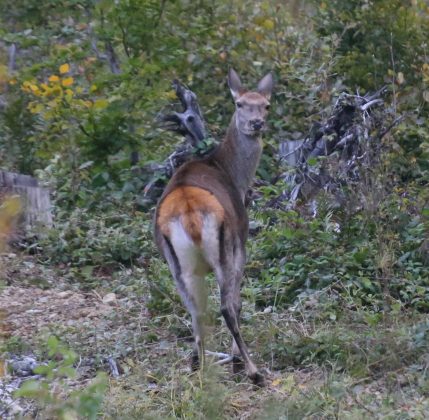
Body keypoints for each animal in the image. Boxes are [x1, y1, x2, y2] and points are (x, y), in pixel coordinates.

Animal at [154, 69, 272, 388]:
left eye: (266, 105)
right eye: (240, 103)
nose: (257, 124)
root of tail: (188, 213)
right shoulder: (242, 244)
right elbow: (238, 302)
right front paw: (235, 360)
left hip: (176, 263)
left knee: (196, 310)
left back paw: (200, 366)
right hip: (224, 249)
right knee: (225, 307)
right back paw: (254, 371)